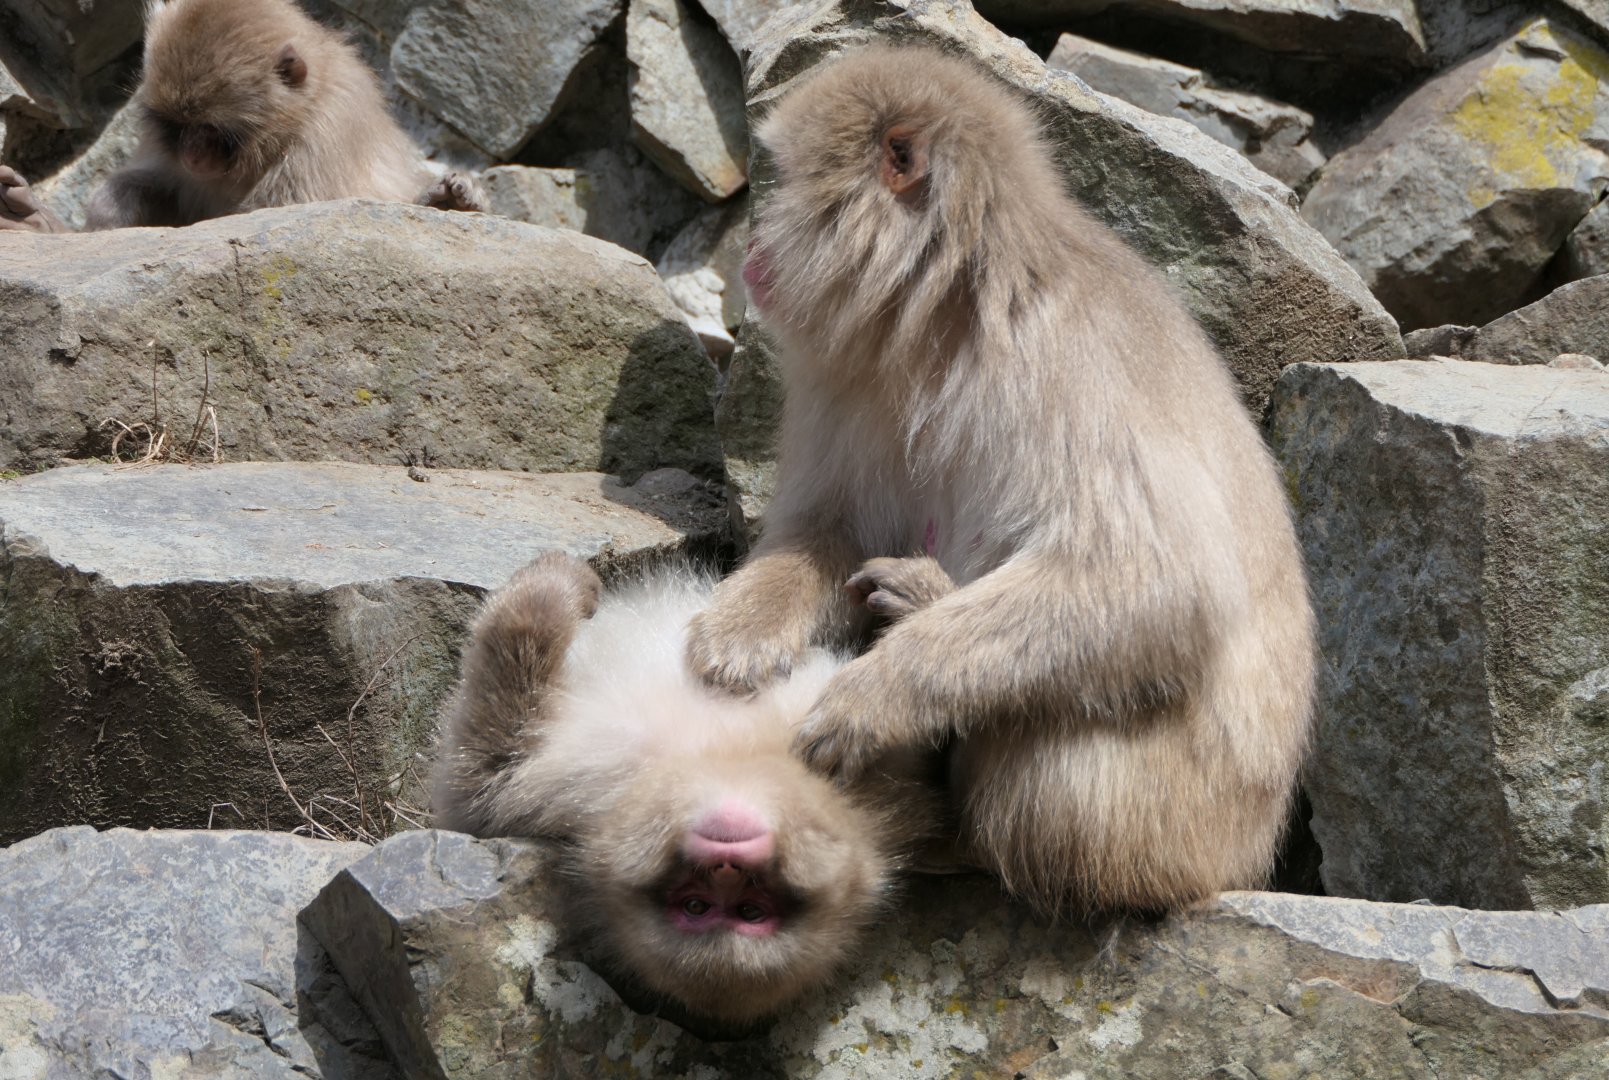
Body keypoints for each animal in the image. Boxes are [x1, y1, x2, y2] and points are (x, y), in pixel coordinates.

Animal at [685, 45, 1317, 917]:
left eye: (778, 185)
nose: (750, 251)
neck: (945, 321)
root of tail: (1244, 856)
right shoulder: (842, 382)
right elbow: (825, 533)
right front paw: (744, 627)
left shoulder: (1067, 361)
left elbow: (1160, 581)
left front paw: (878, 692)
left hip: (1180, 821)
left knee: (1063, 753)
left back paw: (955, 837)